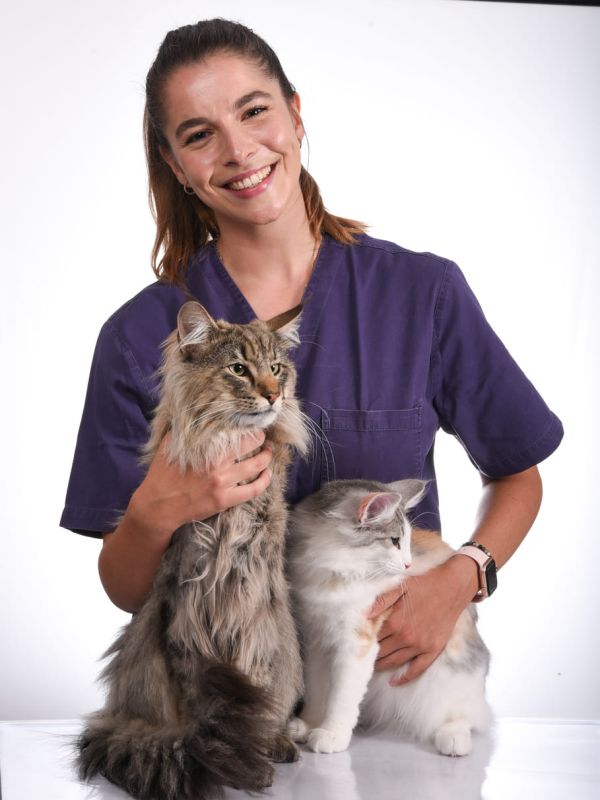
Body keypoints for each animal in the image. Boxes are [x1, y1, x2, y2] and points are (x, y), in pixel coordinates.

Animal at [77, 300, 310, 800]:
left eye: (277, 369)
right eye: (239, 370)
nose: (273, 395)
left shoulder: (254, 621)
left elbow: (256, 689)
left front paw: (256, 748)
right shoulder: (187, 620)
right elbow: (206, 711)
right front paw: (219, 752)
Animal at [287, 478, 492, 757]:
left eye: (407, 542)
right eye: (395, 540)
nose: (408, 564)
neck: (334, 573)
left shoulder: (357, 643)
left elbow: (342, 696)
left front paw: (332, 734)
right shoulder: (317, 640)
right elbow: (317, 689)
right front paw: (309, 724)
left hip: (449, 675)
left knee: (460, 713)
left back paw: (453, 738)